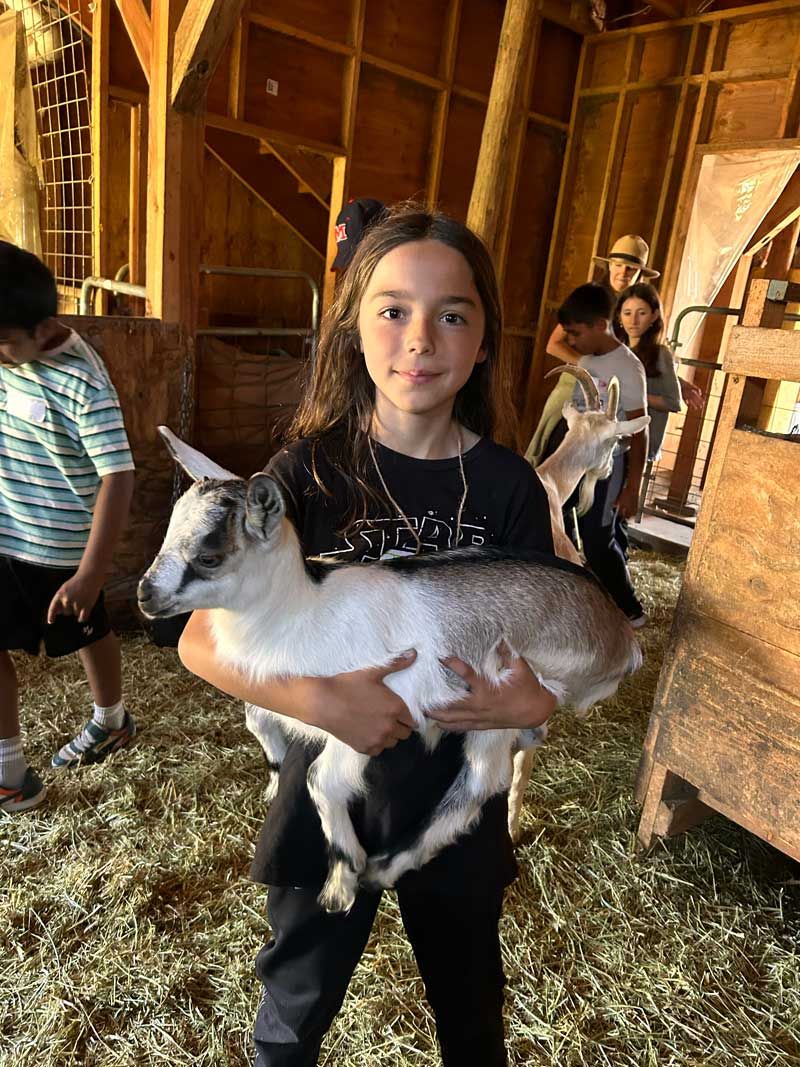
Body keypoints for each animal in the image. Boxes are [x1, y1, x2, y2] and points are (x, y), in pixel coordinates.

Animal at [138, 427, 644, 914]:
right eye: (166, 536)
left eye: (209, 556)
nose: (145, 595)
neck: (304, 609)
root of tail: (619, 633)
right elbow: (259, 720)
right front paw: (276, 777)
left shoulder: (367, 718)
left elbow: (321, 780)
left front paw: (341, 882)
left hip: (505, 695)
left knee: (483, 780)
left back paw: (383, 867)